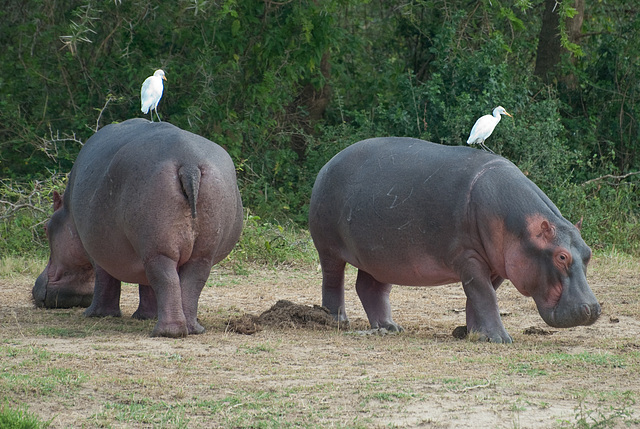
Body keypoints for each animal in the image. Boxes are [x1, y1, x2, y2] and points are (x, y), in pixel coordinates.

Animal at [33, 118, 242, 336]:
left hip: (157, 249)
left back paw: (167, 332)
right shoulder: (140, 248)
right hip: (197, 252)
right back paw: (192, 329)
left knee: (165, 279)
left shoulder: (98, 249)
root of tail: (189, 163)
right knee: (191, 281)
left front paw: (96, 314)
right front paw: (145, 316)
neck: (67, 211)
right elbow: (147, 286)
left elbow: (105, 280)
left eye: (46, 229)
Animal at [310, 137, 600, 342]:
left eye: (588, 253)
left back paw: (390, 327)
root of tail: (327, 164)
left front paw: (474, 334)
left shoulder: (497, 263)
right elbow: (484, 295)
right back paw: (337, 321)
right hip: (329, 248)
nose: (593, 309)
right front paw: (500, 338)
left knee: (369, 287)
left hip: (382, 257)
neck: (522, 229)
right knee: (333, 280)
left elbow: (479, 297)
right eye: (561, 256)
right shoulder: (468, 256)